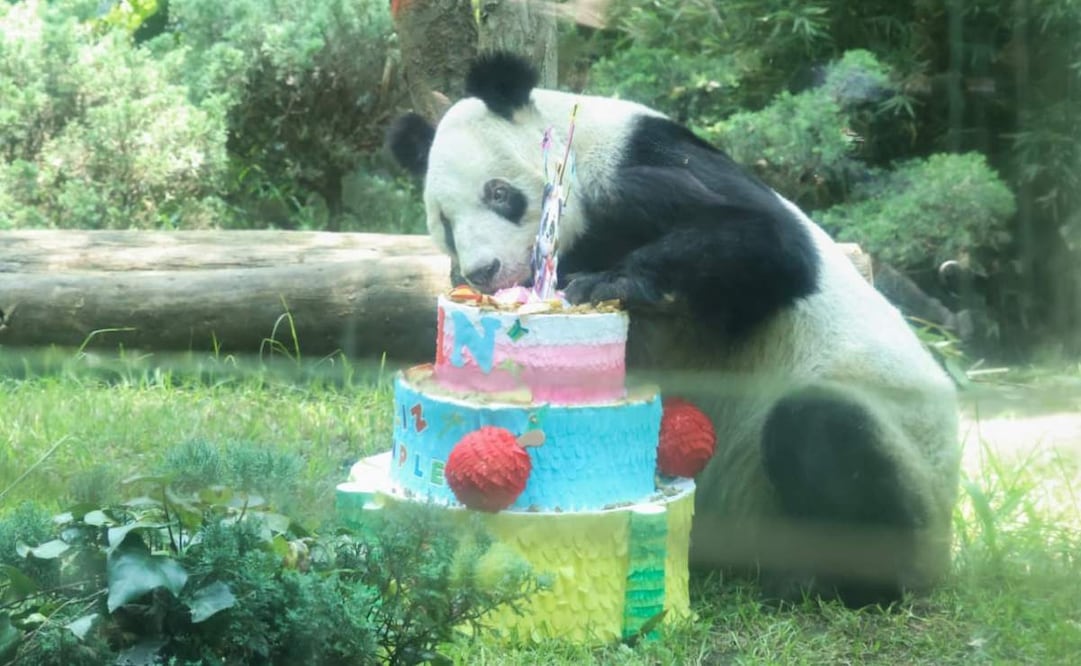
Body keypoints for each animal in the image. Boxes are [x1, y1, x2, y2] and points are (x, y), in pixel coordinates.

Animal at [387, 51, 961, 608]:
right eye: (445, 224)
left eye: (499, 194)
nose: (482, 271)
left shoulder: (645, 157)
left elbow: (767, 241)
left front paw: (610, 275)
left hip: (907, 461)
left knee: (822, 426)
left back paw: (844, 582)